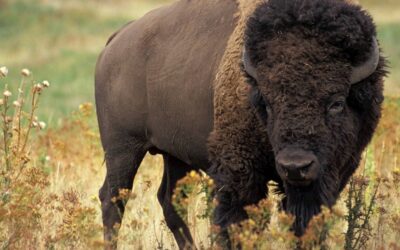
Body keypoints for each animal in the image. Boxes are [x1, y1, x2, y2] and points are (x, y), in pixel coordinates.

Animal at [95, 0, 386, 248]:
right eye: (267, 103)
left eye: (336, 102)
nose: (295, 166)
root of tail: (116, 40)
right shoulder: (239, 174)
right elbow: (236, 224)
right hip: (123, 148)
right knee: (113, 199)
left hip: (175, 156)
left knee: (170, 202)